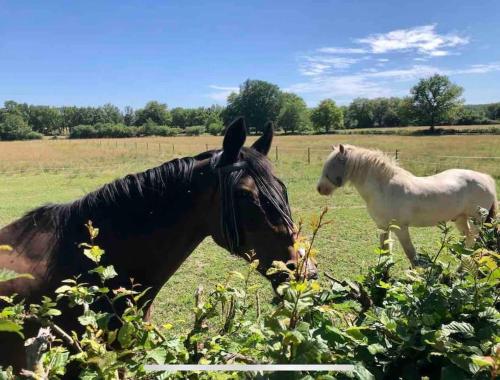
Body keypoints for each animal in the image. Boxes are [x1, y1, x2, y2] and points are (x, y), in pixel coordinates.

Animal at [318, 144, 498, 266]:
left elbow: (411, 254)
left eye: (331, 165)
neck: (385, 187)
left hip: (477, 220)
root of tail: (486, 178)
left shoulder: (401, 228)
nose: (320, 189)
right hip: (461, 219)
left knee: (475, 240)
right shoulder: (383, 227)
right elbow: (384, 250)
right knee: (468, 239)